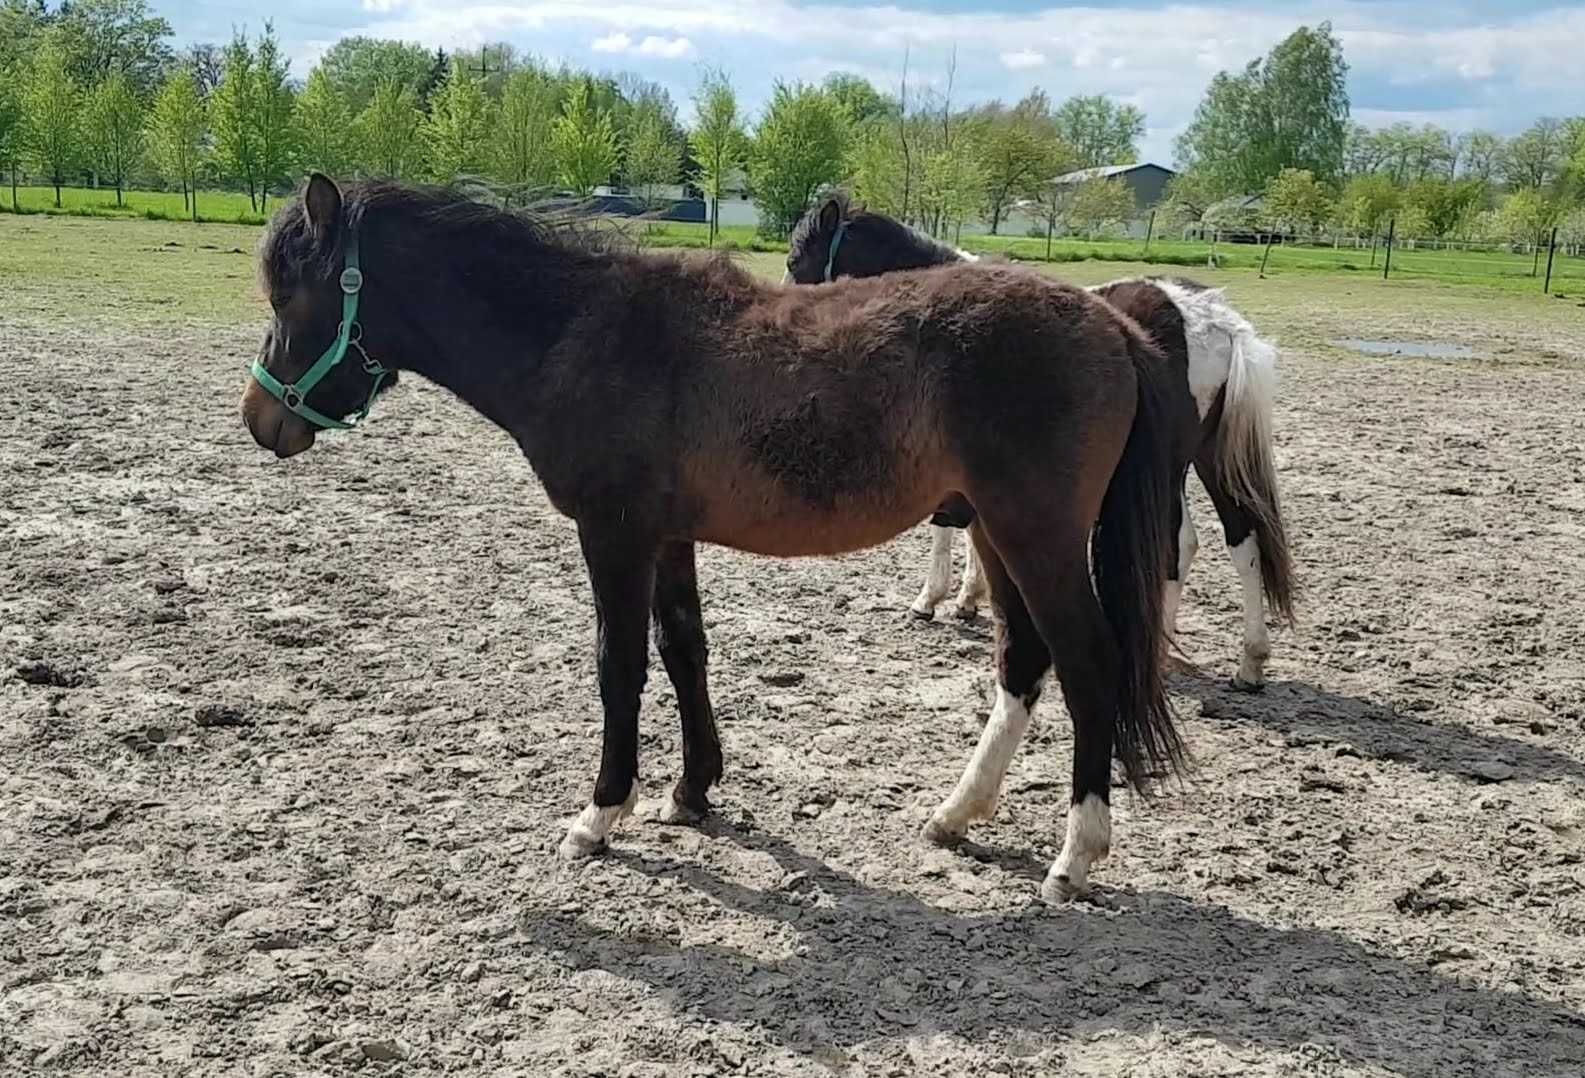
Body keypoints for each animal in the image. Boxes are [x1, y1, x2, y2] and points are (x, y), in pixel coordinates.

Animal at [244, 179, 1191, 900]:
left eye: (292, 297)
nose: (260, 421)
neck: (581, 336)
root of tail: (1112, 326)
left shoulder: (615, 536)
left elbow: (620, 666)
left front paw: (601, 814)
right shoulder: (668, 539)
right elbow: (683, 650)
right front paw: (691, 790)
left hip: (1038, 538)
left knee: (1088, 664)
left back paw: (1074, 857)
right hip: (996, 535)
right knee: (1022, 661)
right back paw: (957, 814)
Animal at [786, 193, 1293, 684]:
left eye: (795, 259)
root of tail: (1214, 319)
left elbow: (945, 530)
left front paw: (931, 599)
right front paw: (968, 598)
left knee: (1177, 544)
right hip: (1206, 459)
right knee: (1240, 541)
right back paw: (1247, 662)